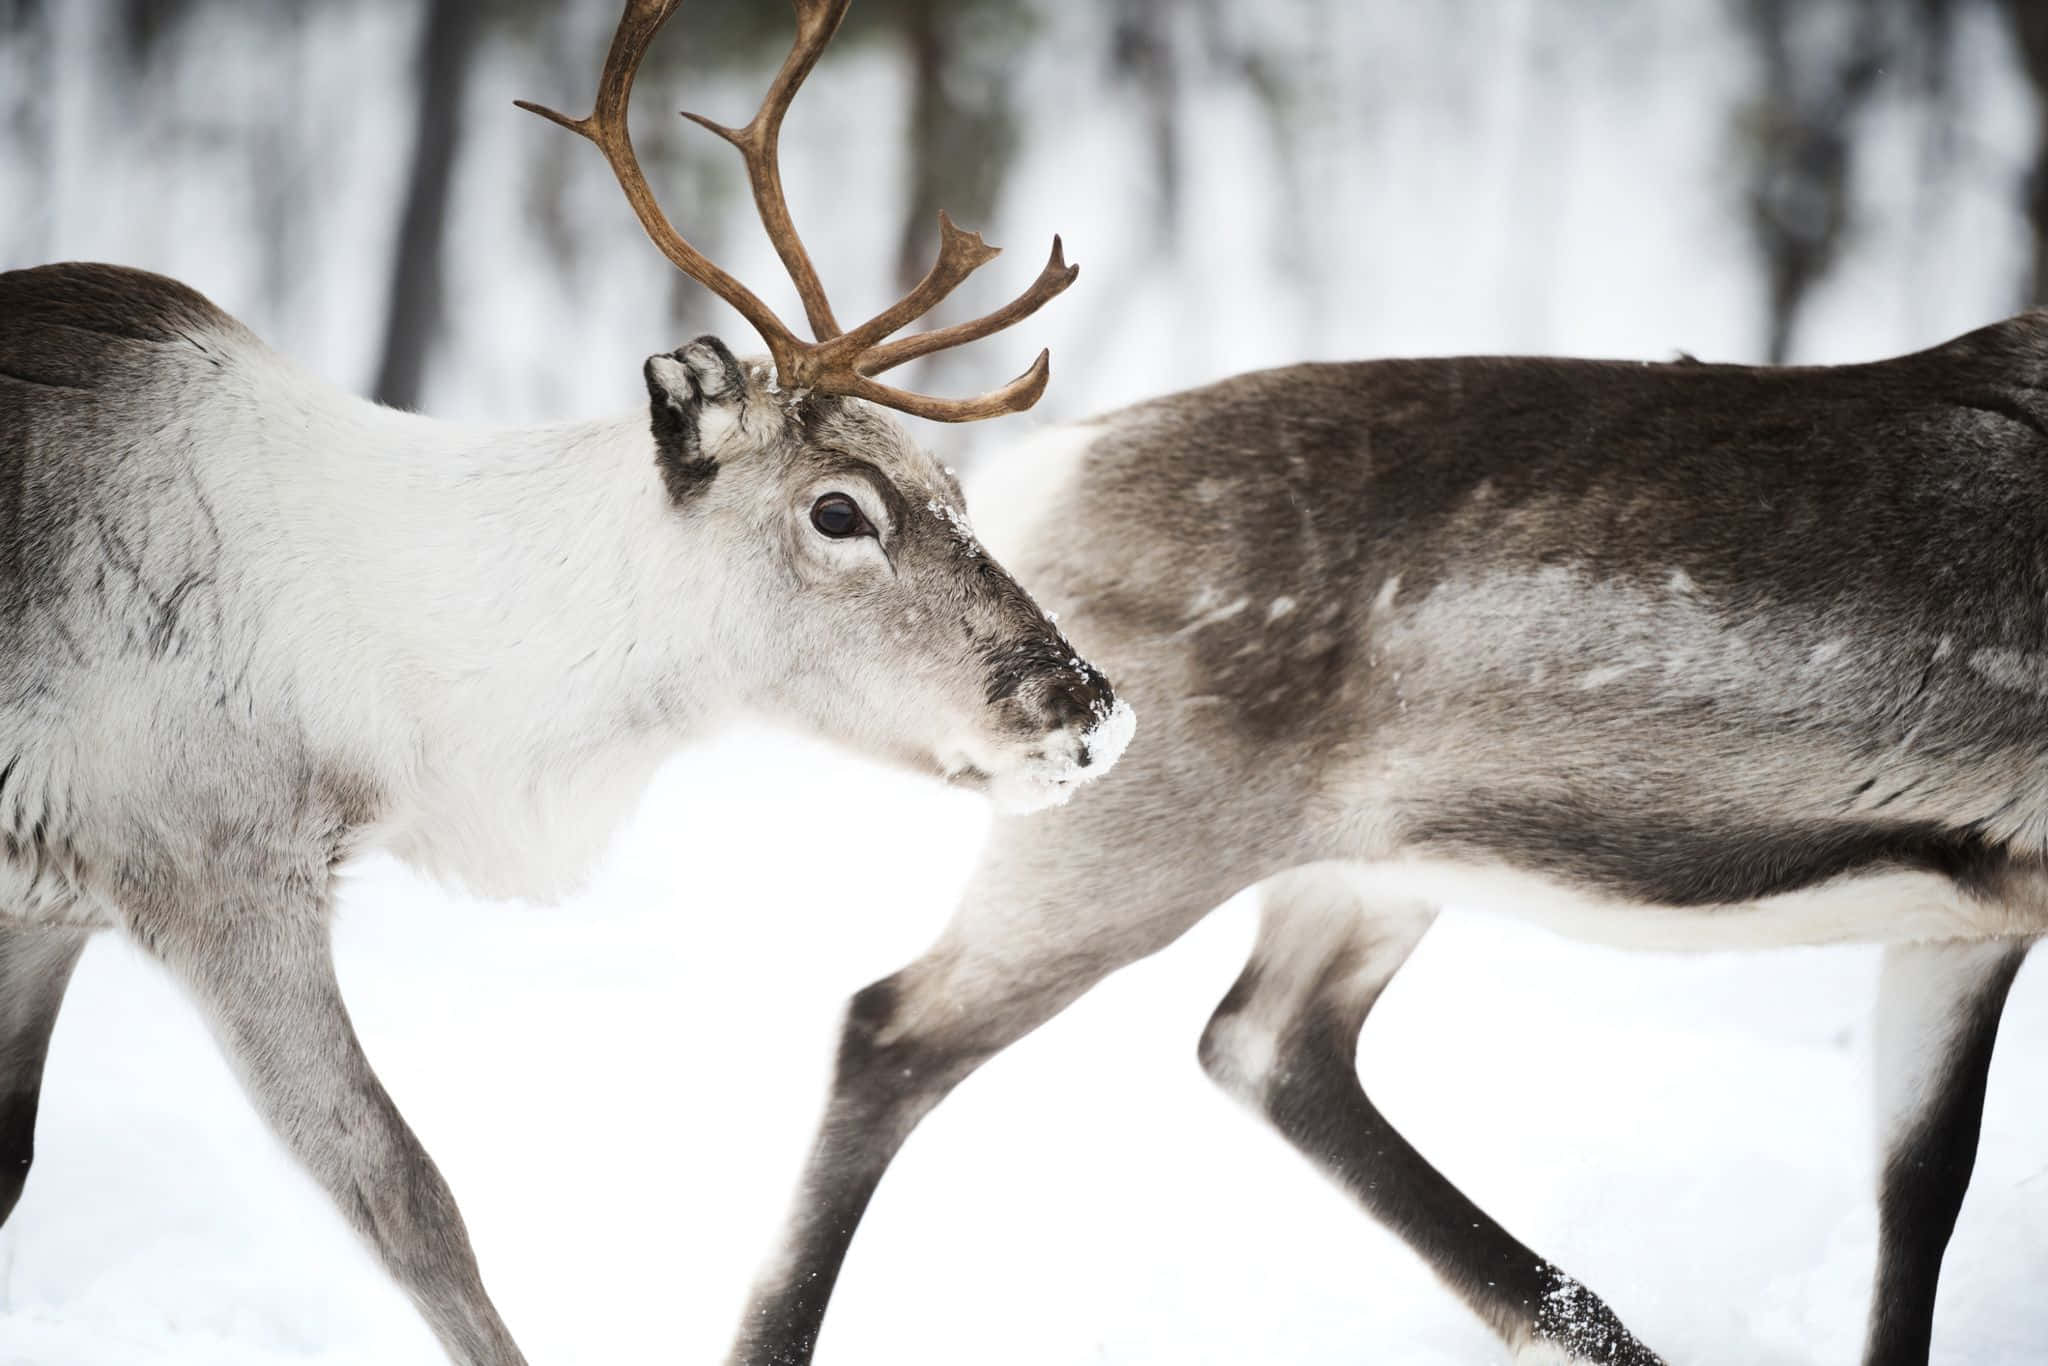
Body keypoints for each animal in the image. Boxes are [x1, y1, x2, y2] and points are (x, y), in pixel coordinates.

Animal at [0, 2, 1134, 1362]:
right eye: (838, 510)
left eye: (958, 490)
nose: (1091, 706)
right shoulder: (213, 870)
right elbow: (405, 1195)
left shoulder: (46, 904)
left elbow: (8, 1162)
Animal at [720, 322, 2048, 1363]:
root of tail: (1026, 478)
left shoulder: (1962, 923)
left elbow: (1920, 1187)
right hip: (1135, 839)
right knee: (892, 1033)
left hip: (1365, 865)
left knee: (1262, 1040)